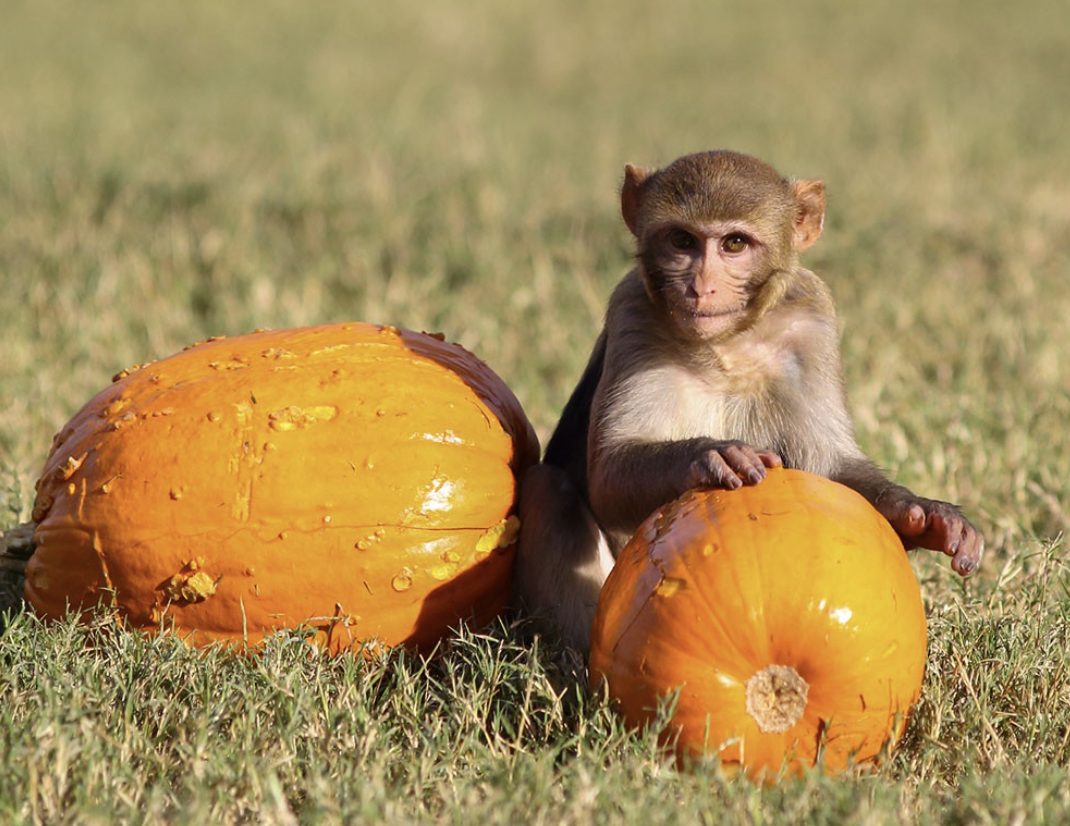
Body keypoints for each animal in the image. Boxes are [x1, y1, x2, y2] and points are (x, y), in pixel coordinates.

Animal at [514, 150, 985, 652]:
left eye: (734, 244)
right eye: (682, 240)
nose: (700, 285)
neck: (728, 344)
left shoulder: (813, 322)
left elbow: (830, 467)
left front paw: (923, 516)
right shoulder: (632, 312)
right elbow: (607, 476)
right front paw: (709, 454)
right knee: (547, 487)